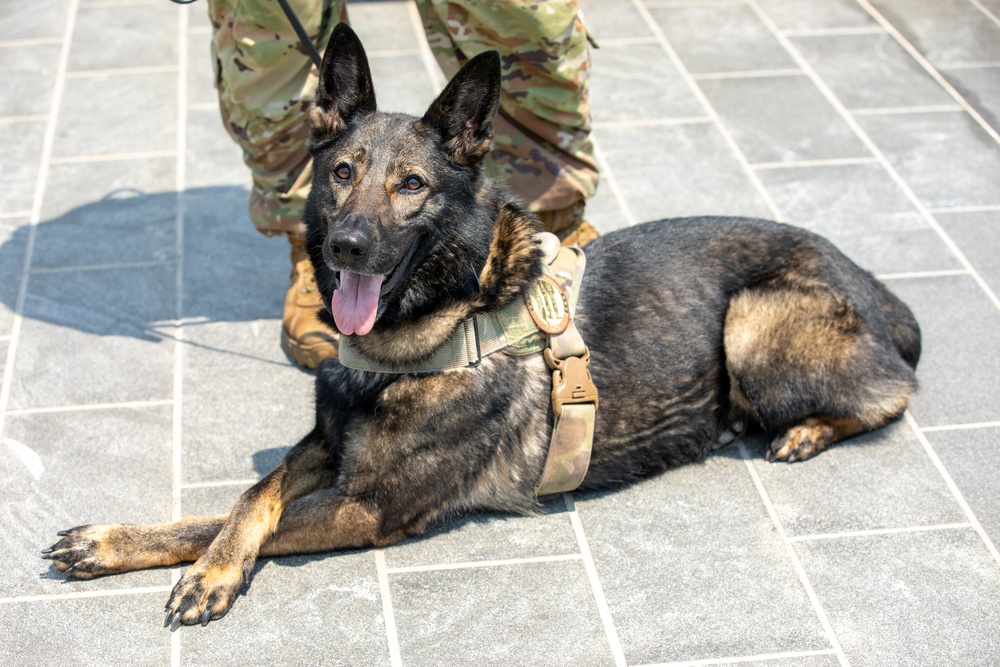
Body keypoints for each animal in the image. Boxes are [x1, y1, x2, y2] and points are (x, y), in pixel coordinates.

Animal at [45, 23, 920, 628]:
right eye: (341, 173)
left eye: (411, 185)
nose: (345, 244)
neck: (437, 326)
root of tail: (875, 284)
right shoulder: (327, 443)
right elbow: (247, 497)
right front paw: (121, 543)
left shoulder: (366, 508)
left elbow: (244, 515)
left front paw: (208, 572)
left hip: (749, 322)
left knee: (894, 390)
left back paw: (805, 430)